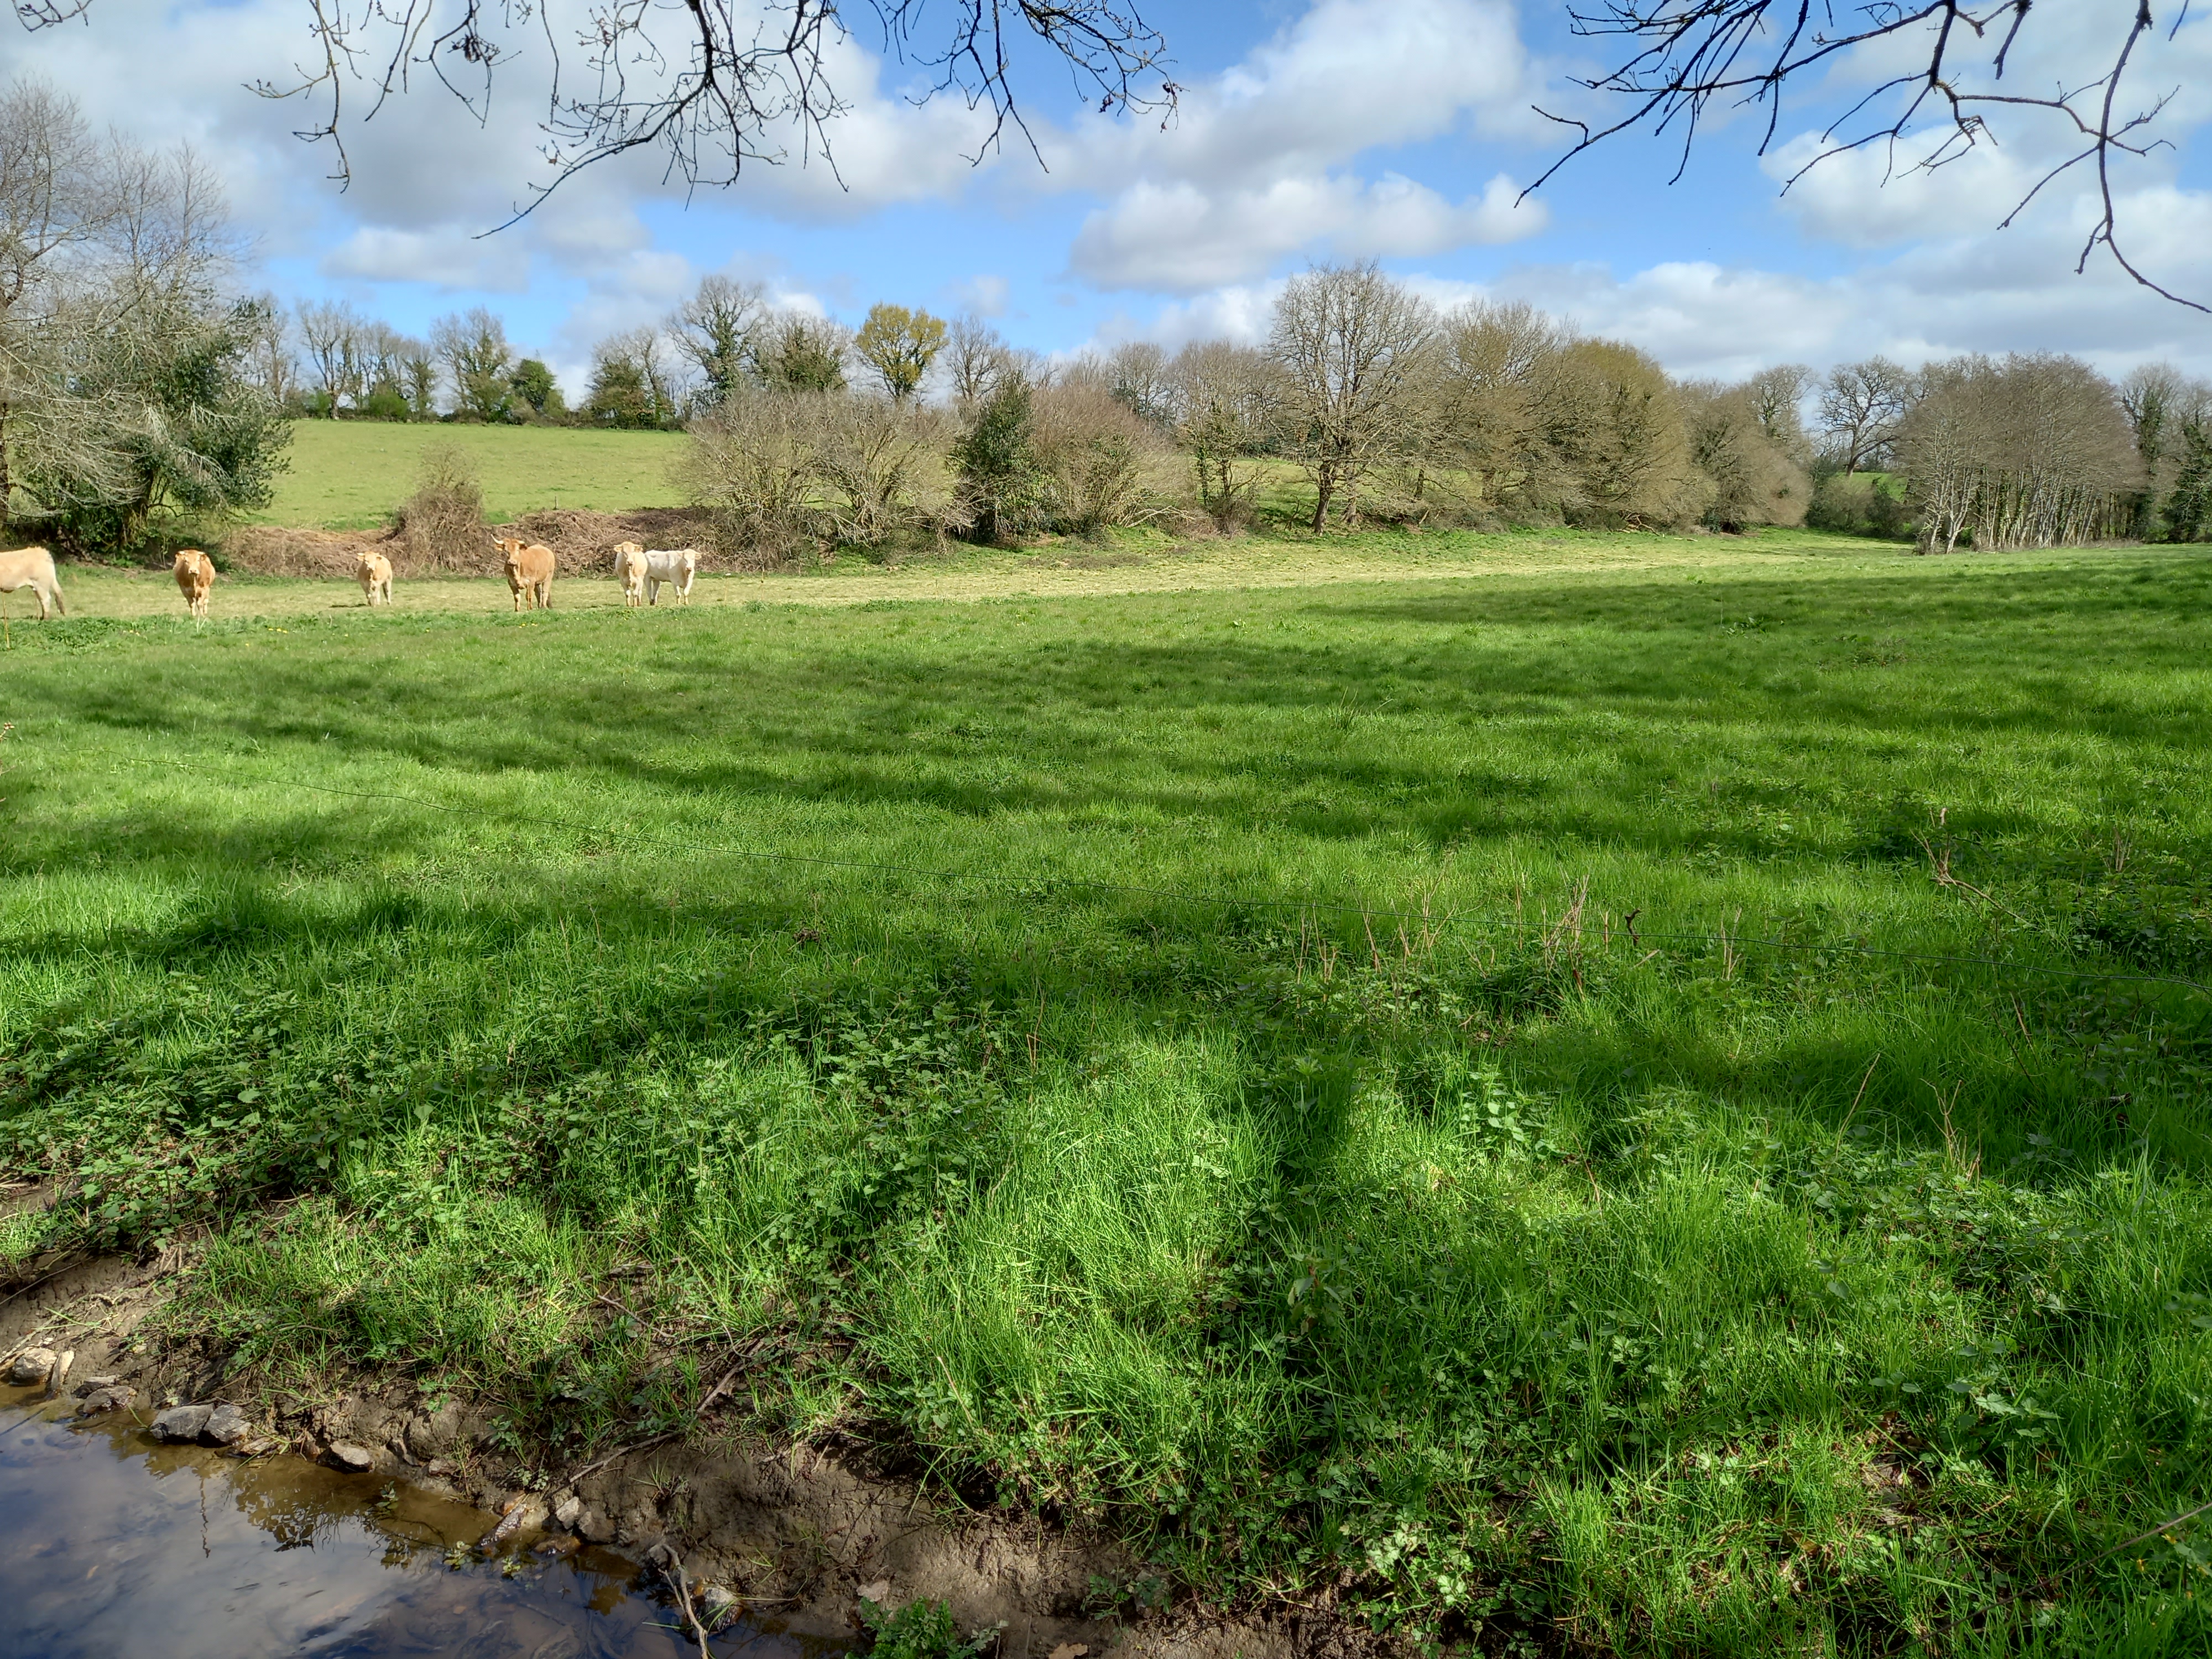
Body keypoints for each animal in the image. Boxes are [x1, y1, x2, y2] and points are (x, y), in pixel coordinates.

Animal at [0, 546, 65, 624]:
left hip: (41, 585)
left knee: (46, 599)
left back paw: (46, 619)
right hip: (37, 587)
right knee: (41, 600)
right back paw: (42, 617)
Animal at [173, 549, 213, 619]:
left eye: (198, 560)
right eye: (186, 561)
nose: (193, 570)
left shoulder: (205, 589)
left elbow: (201, 603)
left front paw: (202, 615)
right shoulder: (184, 590)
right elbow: (191, 603)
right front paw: (193, 616)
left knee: (205, 601)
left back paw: (205, 612)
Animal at [498, 535, 557, 615]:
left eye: (517, 550)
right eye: (506, 551)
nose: (511, 562)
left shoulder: (531, 581)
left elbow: (528, 596)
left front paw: (530, 609)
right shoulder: (511, 582)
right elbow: (517, 597)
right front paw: (517, 610)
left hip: (548, 576)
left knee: (545, 592)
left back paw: (543, 607)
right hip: (537, 581)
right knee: (538, 593)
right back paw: (540, 607)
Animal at [611, 540, 646, 611]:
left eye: (633, 551)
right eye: (624, 552)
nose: (630, 562)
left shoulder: (638, 580)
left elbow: (635, 593)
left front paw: (635, 605)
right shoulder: (622, 581)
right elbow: (627, 593)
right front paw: (628, 605)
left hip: (642, 579)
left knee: (640, 591)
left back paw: (639, 603)